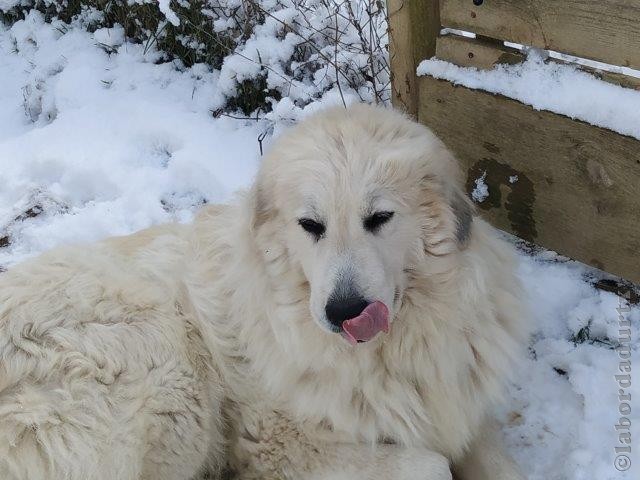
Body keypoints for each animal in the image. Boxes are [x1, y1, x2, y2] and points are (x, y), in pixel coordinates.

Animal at [1, 103, 528, 478]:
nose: (344, 311)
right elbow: (434, 465)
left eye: (380, 218)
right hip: (167, 364)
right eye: (310, 225)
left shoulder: (457, 406)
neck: (392, 350)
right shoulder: (285, 442)